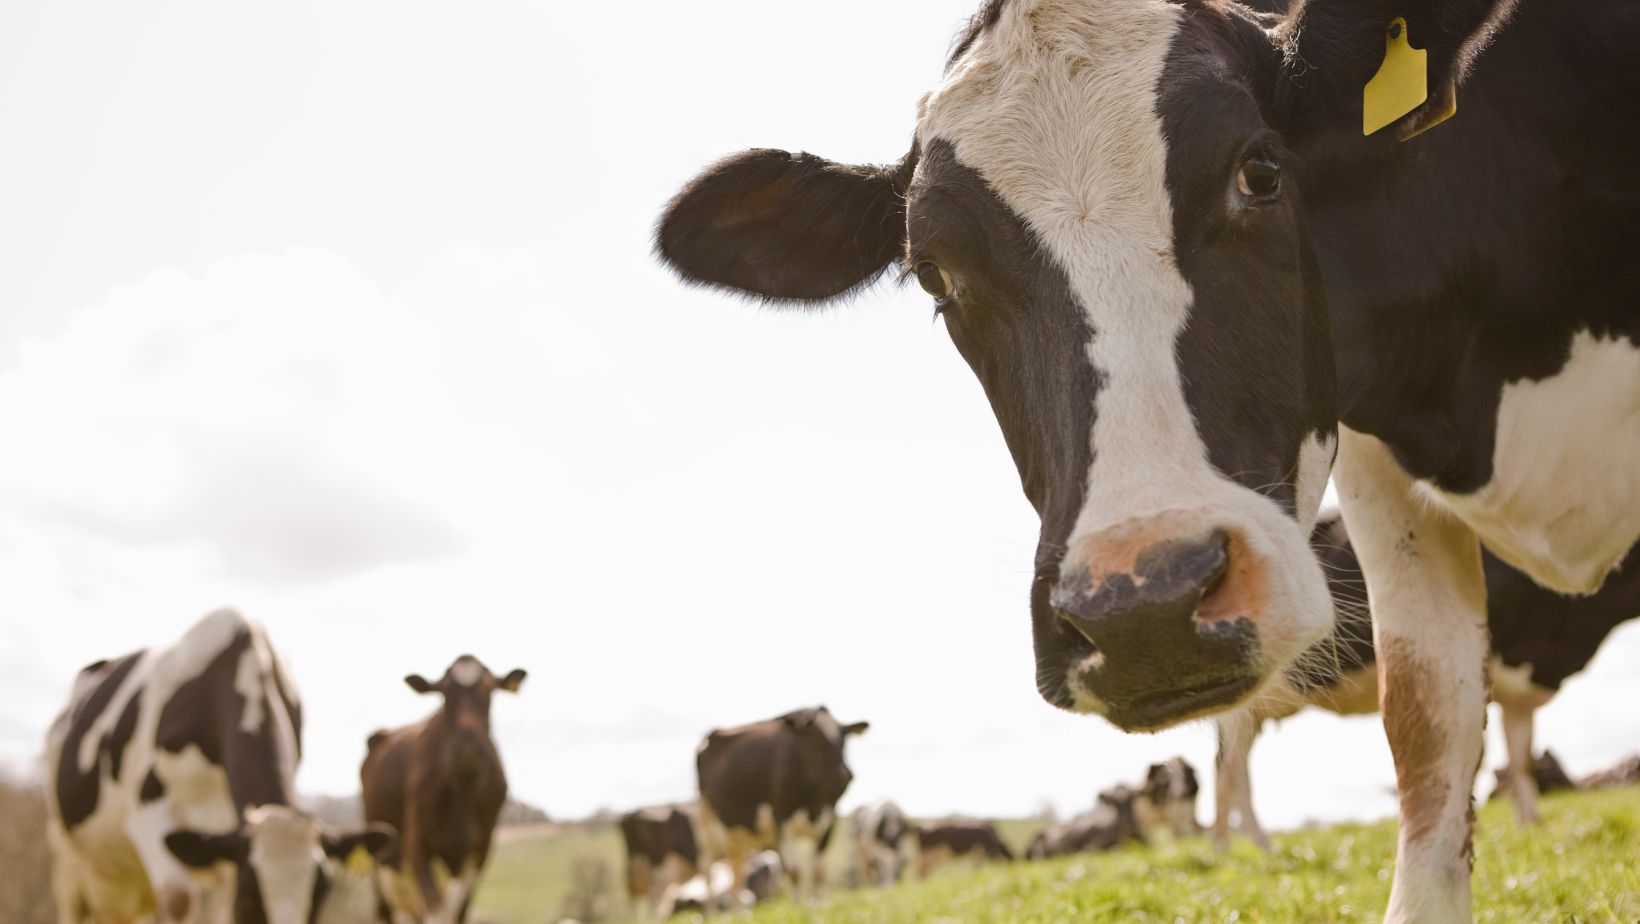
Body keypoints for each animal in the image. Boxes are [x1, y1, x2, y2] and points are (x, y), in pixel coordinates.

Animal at [43, 608, 394, 924]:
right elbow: (179, 899)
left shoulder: (227, 840)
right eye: (251, 897)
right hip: (66, 857)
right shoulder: (149, 815)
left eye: (319, 897)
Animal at [361, 656, 525, 924]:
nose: (468, 748)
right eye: (445, 694)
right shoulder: (417, 845)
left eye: (489, 692)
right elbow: (436, 912)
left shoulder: (479, 852)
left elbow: (457, 912)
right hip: (382, 858)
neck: (463, 789)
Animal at [694, 706, 867, 908]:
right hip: (706, 826)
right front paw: (798, 906)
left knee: (737, 872)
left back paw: (739, 911)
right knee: (708, 873)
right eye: (816, 738)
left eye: (843, 739)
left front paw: (819, 905)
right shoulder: (781, 821)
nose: (845, 774)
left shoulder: (829, 820)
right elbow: (794, 871)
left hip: (738, 833)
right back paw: (713, 911)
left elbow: (818, 871)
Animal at [1213, 513, 1639, 848]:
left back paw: (1241, 847)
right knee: (1229, 770)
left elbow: (1522, 762)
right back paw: (1242, 847)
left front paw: (1531, 827)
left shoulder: (1518, 689)